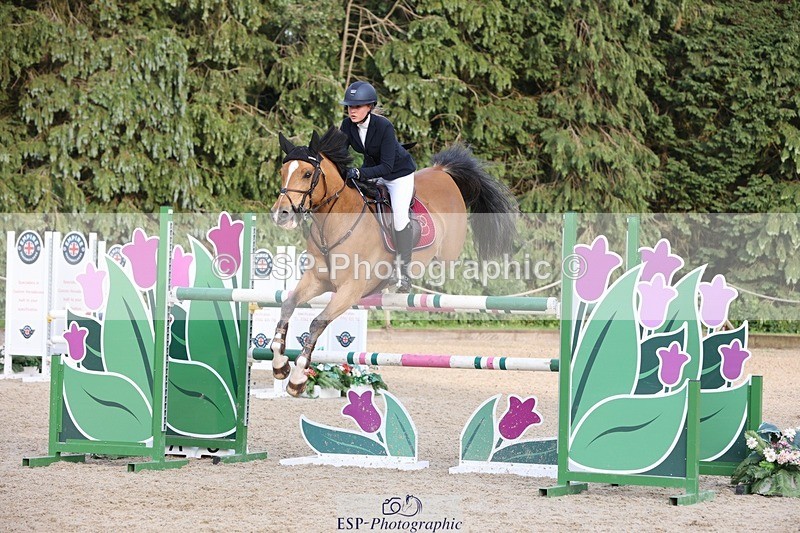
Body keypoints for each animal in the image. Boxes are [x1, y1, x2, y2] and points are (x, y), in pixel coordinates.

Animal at [270, 126, 518, 396]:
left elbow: (317, 323)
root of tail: (441, 171)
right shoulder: (317, 281)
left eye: (306, 174)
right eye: (282, 172)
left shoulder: (350, 290)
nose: (281, 214)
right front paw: (280, 365)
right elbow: (288, 305)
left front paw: (297, 378)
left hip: (448, 249)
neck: (335, 223)